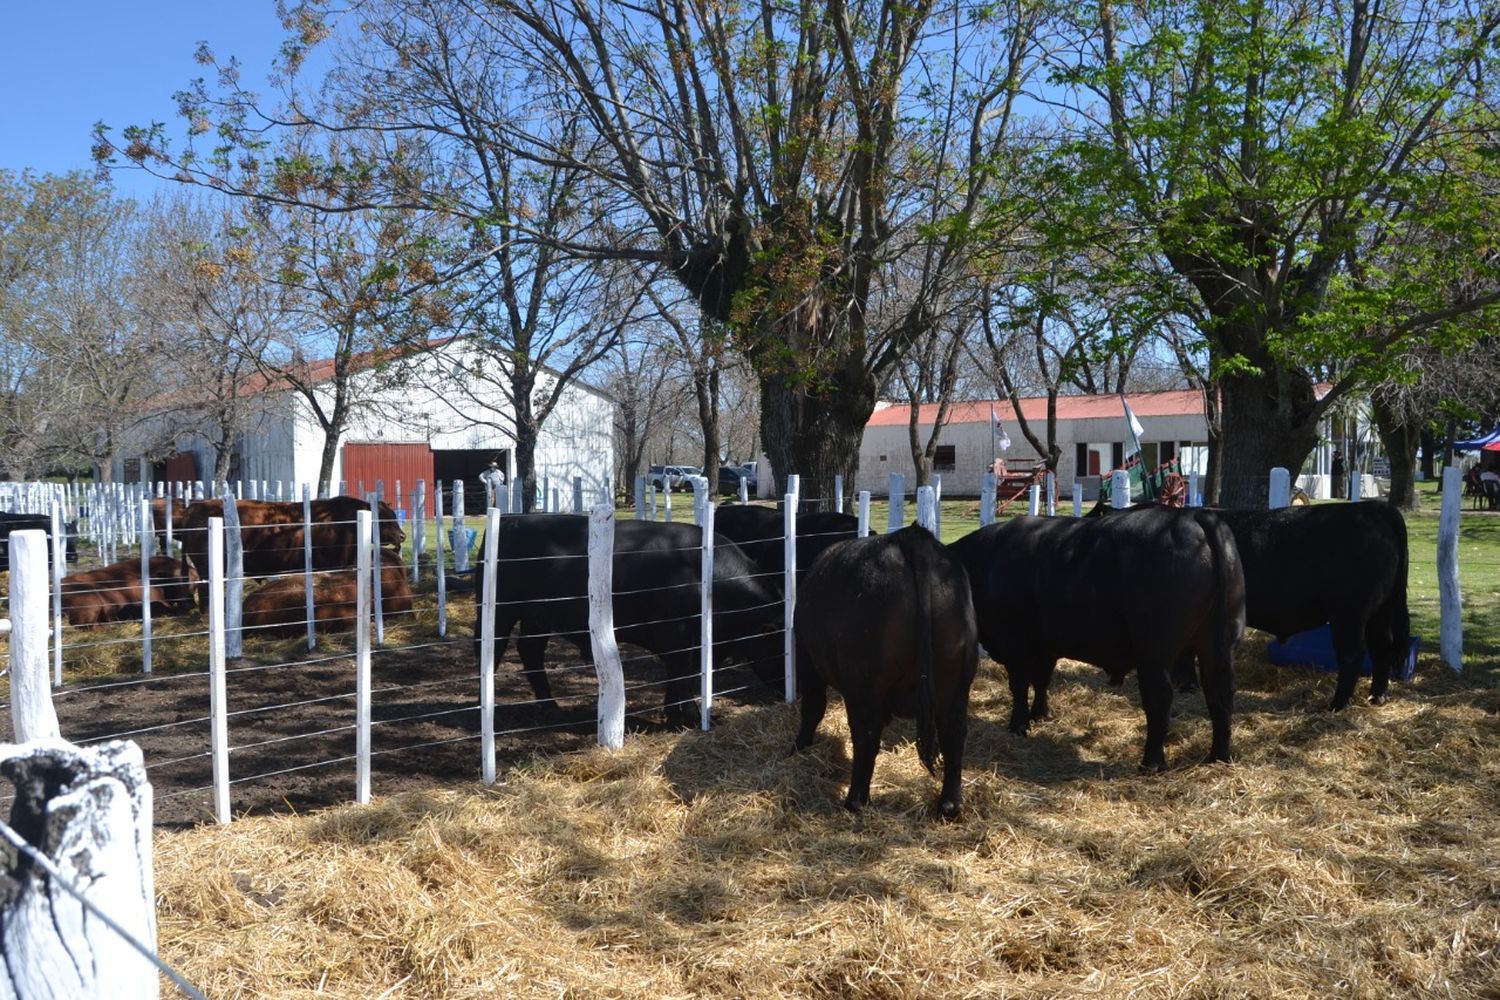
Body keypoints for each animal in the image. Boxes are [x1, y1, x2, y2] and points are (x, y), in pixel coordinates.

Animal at [474, 515, 786, 719]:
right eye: (783, 648)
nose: (790, 693)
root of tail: (512, 520)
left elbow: (680, 674)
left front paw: (678, 712)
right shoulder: (674, 634)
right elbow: (680, 671)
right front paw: (687, 715)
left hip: (538, 617)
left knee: (530, 651)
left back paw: (550, 705)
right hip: (500, 613)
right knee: (490, 652)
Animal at [954, 509, 1248, 773]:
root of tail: (1194, 515)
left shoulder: (1015, 643)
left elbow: (1019, 685)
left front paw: (1018, 725)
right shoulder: (1046, 646)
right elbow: (1041, 681)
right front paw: (1040, 714)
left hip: (1155, 653)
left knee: (1160, 699)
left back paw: (1151, 763)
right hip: (1219, 646)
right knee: (1220, 695)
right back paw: (1219, 757)